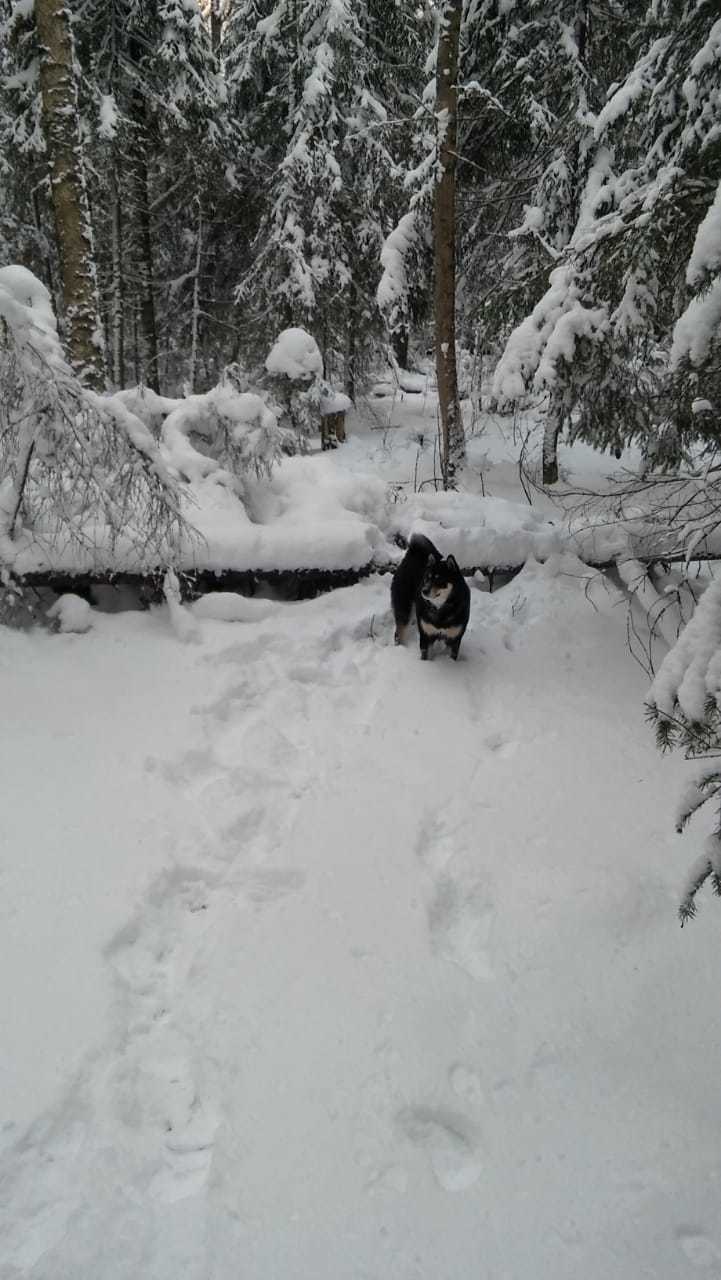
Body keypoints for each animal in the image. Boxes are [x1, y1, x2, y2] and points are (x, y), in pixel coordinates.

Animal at [391, 535, 471, 665]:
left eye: (439, 579)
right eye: (426, 578)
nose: (424, 591)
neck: (440, 609)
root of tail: (412, 553)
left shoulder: (454, 639)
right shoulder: (426, 636)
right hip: (404, 609)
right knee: (398, 633)